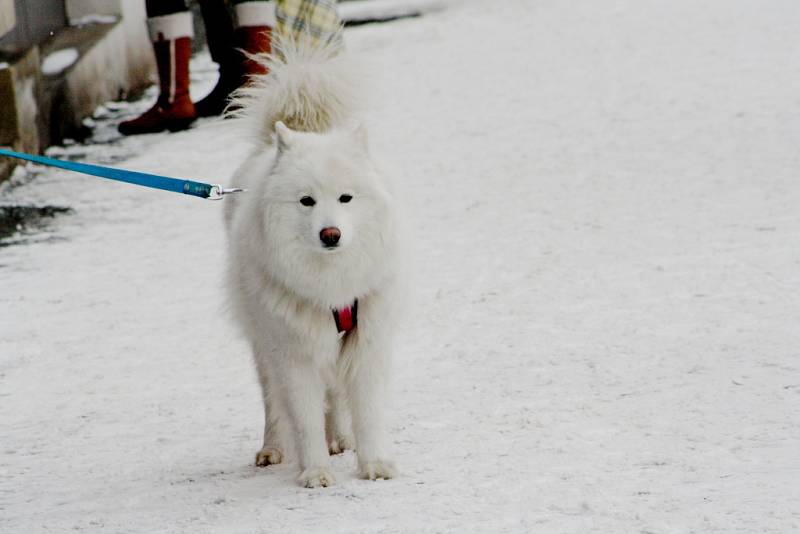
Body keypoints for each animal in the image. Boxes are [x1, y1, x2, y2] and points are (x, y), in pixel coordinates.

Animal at [223, 37, 404, 490]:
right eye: (306, 201)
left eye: (345, 198)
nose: (330, 234)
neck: (331, 285)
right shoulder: (294, 354)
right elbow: (303, 418)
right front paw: (315, 472)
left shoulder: (366, 343)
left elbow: (367, 413)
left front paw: (374, 464)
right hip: (264, 345)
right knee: (273, 401)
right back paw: (272, 449)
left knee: (335, 396)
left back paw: (340, 438)